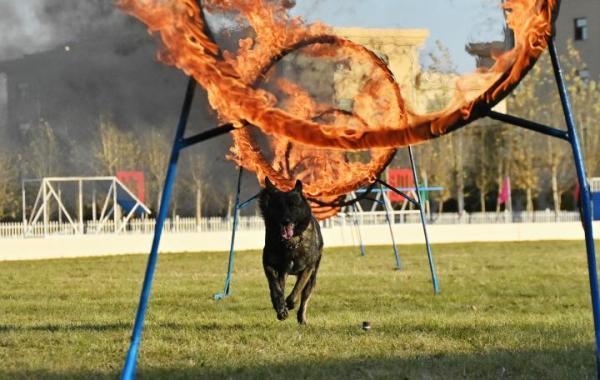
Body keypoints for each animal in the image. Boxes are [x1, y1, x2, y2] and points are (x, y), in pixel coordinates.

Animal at [258, 177, 324, 324]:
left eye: (293, 206)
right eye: (278, 206)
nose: (285, 221)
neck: (290, 244)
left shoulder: (307, 269)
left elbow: (297, 289)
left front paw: (290, 303)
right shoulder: (270, 266)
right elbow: (275, 288)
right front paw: (280, 307)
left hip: (312, 278)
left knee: (304, 297)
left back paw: (301, 318)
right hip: (284, 273)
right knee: (281, 286)